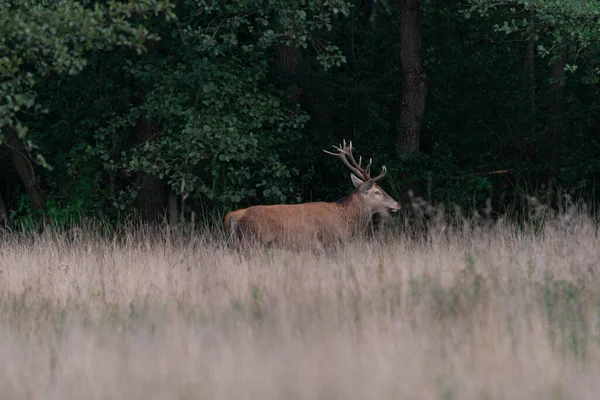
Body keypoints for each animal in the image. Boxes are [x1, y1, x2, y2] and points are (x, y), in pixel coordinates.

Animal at [223, 140, 400, 250]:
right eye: (377, 191)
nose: (397, 204)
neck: (346, 220)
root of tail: (234, 215)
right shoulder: (330, 242)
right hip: (252, 241)